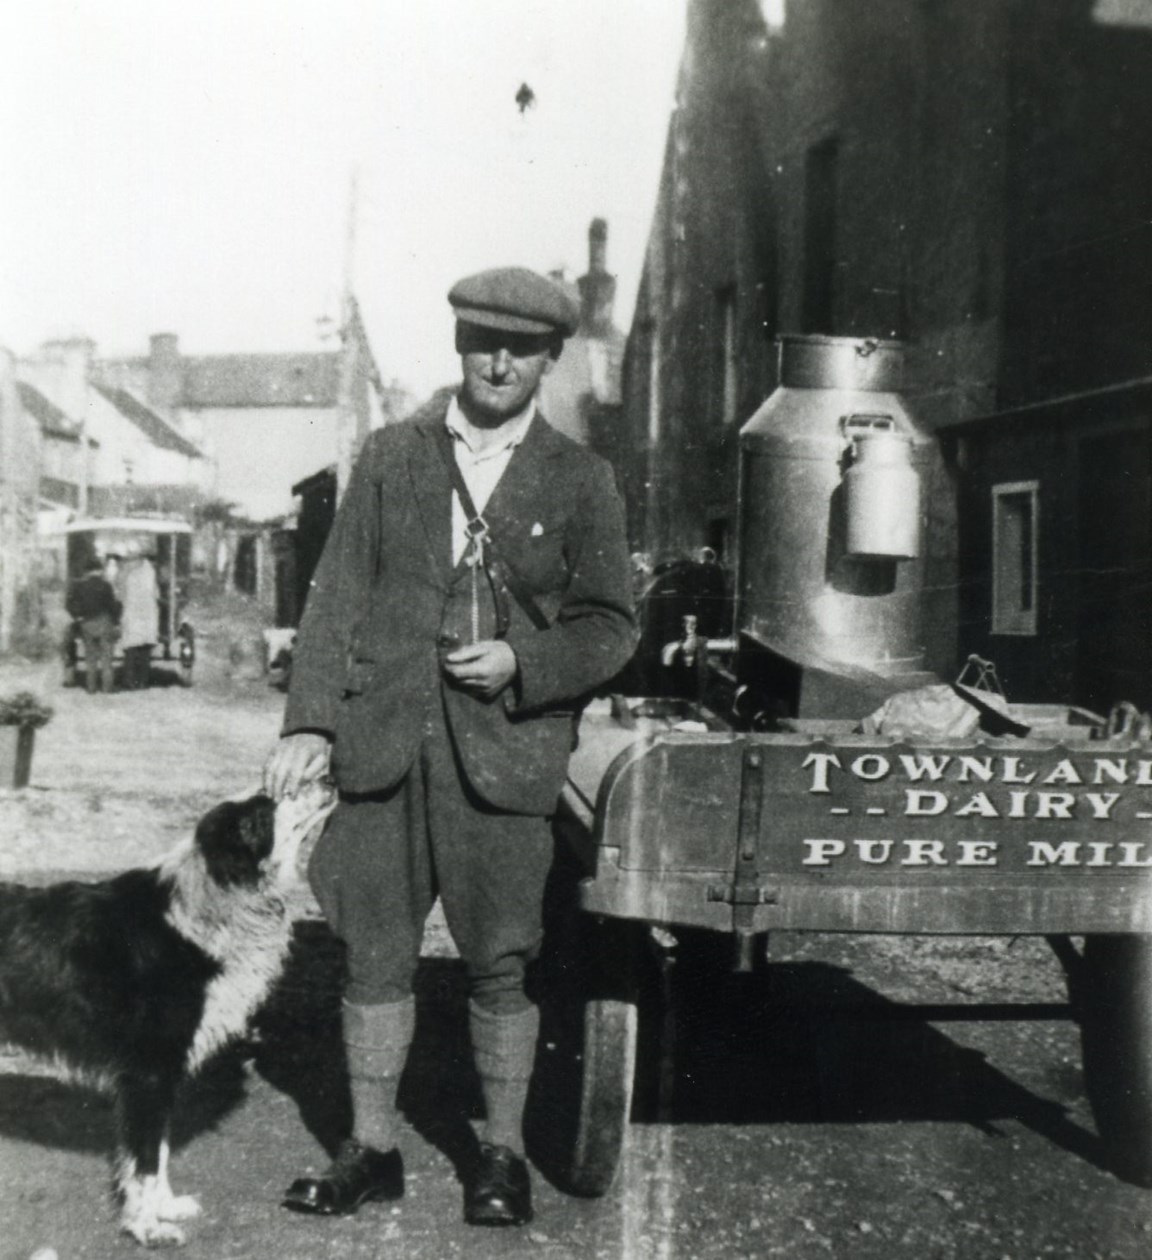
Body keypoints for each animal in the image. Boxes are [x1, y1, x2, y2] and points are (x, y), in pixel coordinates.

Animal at [0, 781, 335, 1244]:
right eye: (267, 806)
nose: (329, 779)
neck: (209, 903)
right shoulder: (149, 1072)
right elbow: (143, 1160)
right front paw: (146, 1228)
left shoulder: (161, 1076)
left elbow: (156, 1153)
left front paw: (166, 1208)